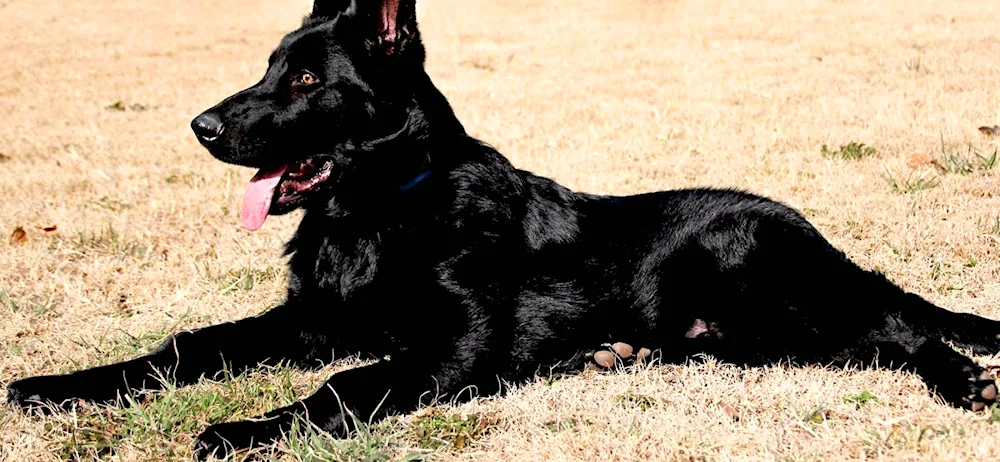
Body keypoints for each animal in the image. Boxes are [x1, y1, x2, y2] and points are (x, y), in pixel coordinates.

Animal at [7, 0, 1000, 456]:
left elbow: (345, 386)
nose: (202, 127)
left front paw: (247, 429)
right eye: (267, 68)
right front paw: (55, 387)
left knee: (903, 328)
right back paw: (612, 355)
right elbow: (185, 346)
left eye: (307, 81)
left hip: (771, 292)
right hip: (757, 337)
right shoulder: (310, 322)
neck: (381, 210)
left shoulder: (455, 344)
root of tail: (815, 234)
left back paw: (963, 382)